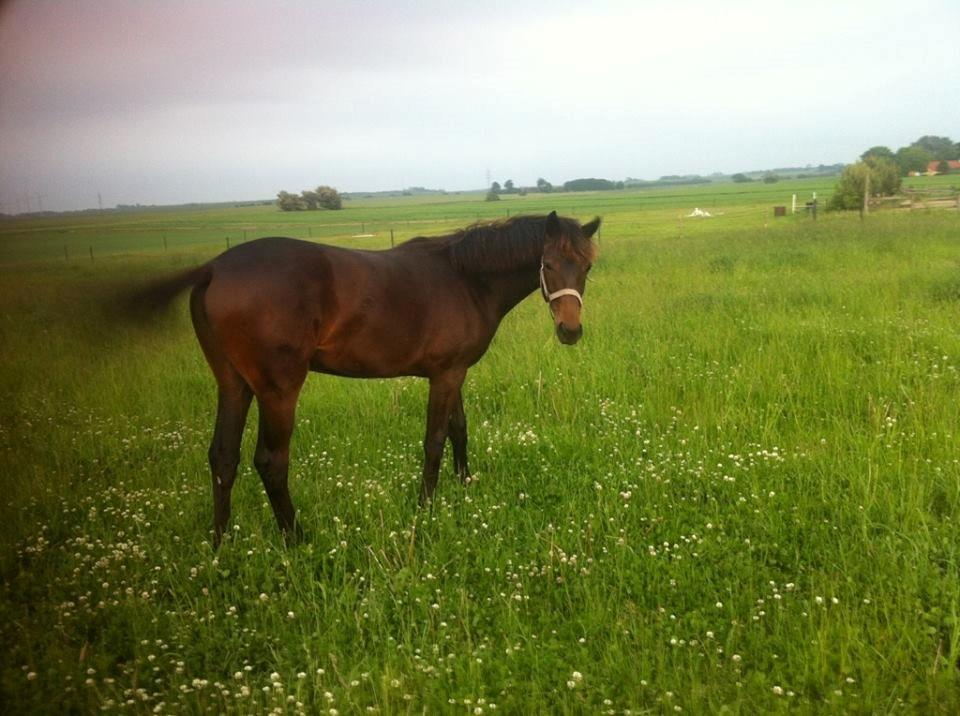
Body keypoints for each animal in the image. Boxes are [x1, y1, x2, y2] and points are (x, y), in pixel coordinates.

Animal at [124, 210, 596, 544]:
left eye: (587, 267)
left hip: (233, 385)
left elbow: (459, 430)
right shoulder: (445, 375)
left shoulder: (453, 371)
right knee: (271, 461)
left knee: (223, 457)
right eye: (548, 263)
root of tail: (213, 268)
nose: (570, 331)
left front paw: (465, 487)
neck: (464, 278)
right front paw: (426, 508)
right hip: (278, 390)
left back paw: (222, 543)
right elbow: (435, 440)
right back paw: (296, 539)